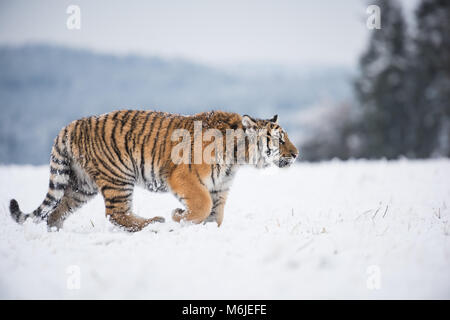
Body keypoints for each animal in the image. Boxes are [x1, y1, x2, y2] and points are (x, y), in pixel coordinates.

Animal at [8, 111, 298, 231]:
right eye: (281, 139)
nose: (296, 154)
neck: (237, 157)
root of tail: (69, 126)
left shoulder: (219, 187)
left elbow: (216, 215)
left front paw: (201, 228)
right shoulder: (183, 177)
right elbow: (202, 205)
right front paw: (179, 217)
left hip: (82, 186)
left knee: (55, 212)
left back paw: (55, 232)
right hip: (118, 176)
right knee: (116, 214)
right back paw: (154, 223)